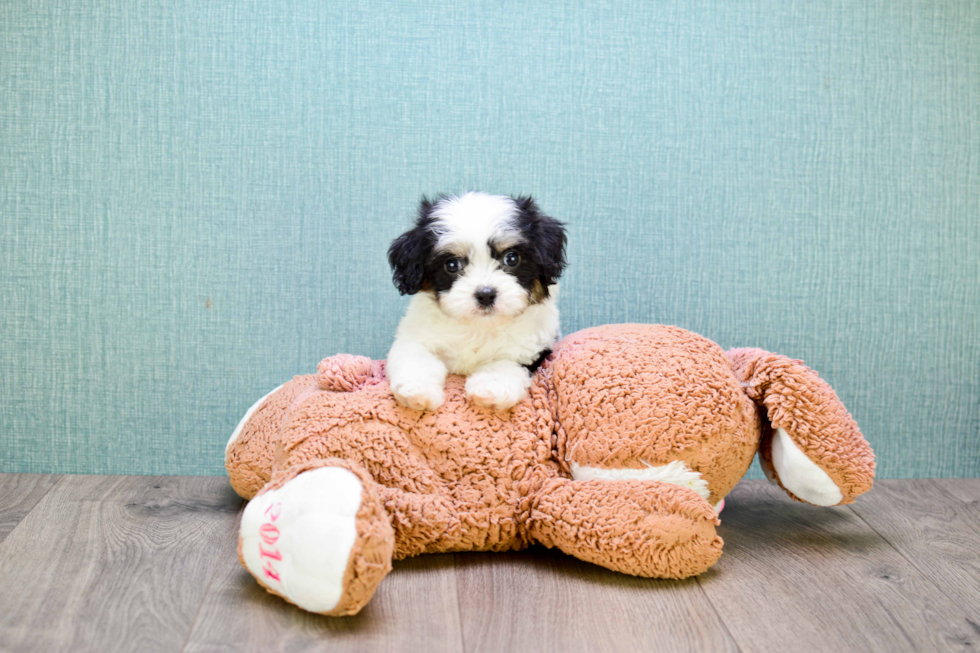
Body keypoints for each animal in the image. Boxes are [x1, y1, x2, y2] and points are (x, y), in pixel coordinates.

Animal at [384, 191, 568, 410]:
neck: (478, 327)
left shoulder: (533, 348)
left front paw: (492, 388)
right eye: (451, 265)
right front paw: (417, 391)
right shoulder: (414, 336)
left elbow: (507, 363)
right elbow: (416, 357)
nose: (486, 294)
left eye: (512, 258)